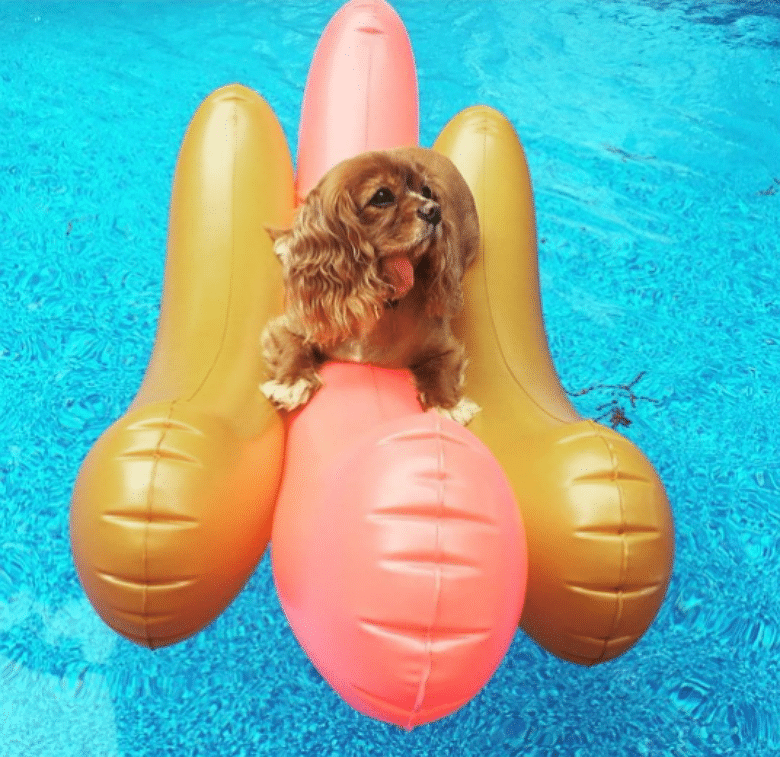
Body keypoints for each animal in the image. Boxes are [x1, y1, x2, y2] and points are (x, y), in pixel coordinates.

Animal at [262, 145, 482, 422]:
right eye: (382, 196)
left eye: (426, 192)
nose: (434, 210)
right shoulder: (289, 327)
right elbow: (292, 348)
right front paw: (291, 382)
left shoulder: (447, 348)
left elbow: (439, 371)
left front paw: (446, 405)